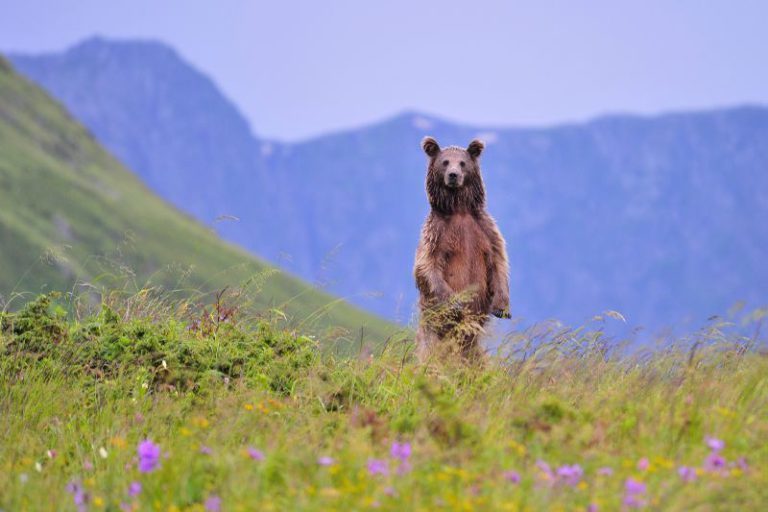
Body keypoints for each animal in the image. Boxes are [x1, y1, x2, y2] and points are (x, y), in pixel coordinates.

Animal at [414, 136, 510, 360]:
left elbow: (499, 262)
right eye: (445, 161)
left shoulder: (486, 230)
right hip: (433, 322)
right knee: (430, 345)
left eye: (463, 163)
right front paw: (456, 301)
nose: (453, 175)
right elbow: (427, 266)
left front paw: (502, 305)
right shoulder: (436, 233)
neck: (460, 210)